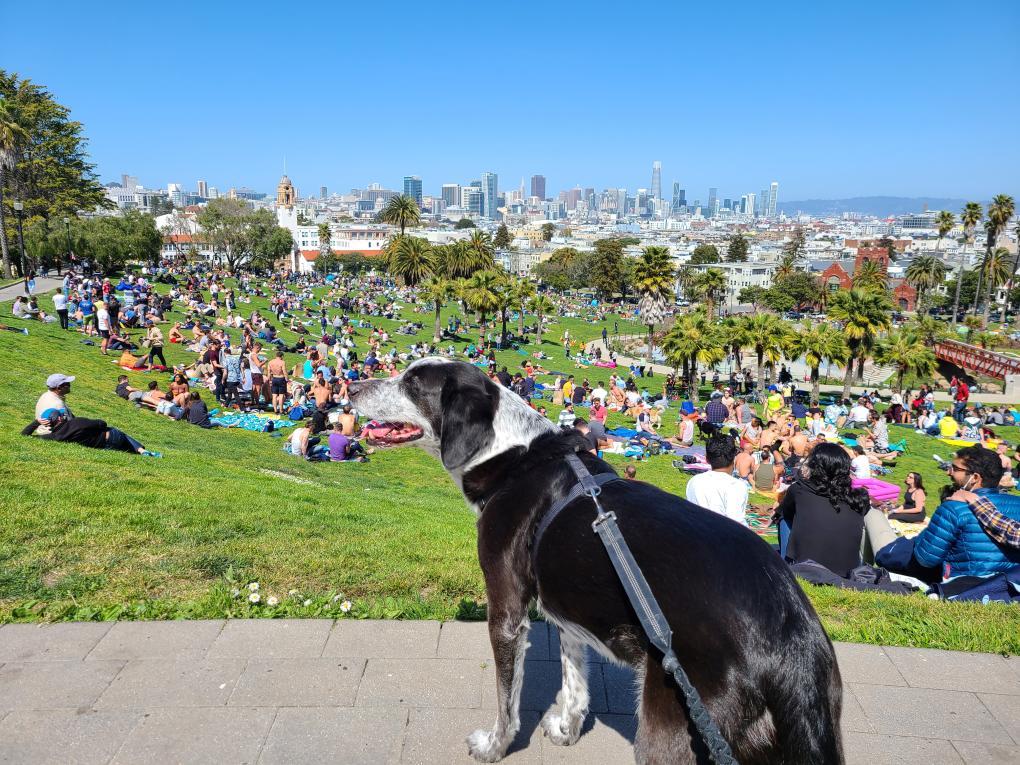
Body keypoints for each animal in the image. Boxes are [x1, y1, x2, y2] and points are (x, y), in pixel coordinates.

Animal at [350, 361, 844, 765]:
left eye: (413, 383)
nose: (353, 388)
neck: (512, 457)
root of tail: (792, 644)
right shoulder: (566, 609)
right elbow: (574, 680)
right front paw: (566, 730)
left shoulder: (507, 612)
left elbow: (507, 700)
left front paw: (493, 748)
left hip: (671, 730)